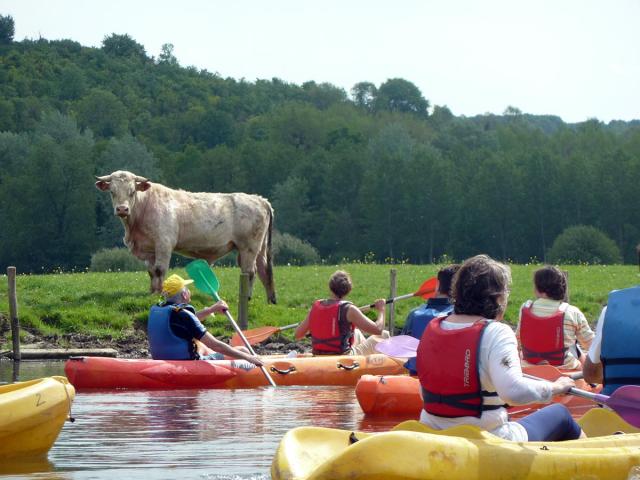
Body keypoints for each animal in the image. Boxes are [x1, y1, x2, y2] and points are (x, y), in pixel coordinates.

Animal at [96, 170, 276, 304]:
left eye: (132, 192)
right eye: (112, 192)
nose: (122, 209)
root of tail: (259, 199)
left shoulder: (164, 243)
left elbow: (159, 270)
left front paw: (160, 293)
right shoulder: (149, 248)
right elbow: (151, 272)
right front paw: (152, 293)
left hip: (249, 247)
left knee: (250, 272)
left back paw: (248, 297)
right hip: (259, 248)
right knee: (263, 270)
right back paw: (269, 300)